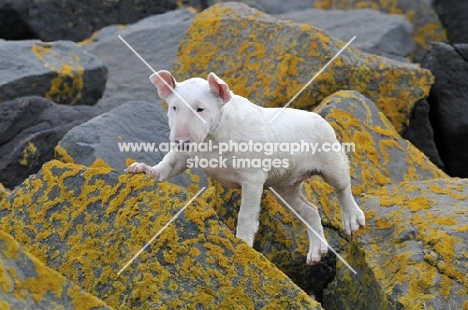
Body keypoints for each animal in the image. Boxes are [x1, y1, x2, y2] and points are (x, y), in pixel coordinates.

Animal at [125, 71, 366, 266]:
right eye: (174, 108)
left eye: (200, 109)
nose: (181, 141)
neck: (213, 137)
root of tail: (319, 117)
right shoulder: (184, 156)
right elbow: (168, 164)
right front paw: (145, 170)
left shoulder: (253, 178)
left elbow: (246, 214)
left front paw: (242, 243)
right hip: (284, 188)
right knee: (309, 210)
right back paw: (316, 252)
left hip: (330, 158)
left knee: (342, 188)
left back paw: (352, 219)